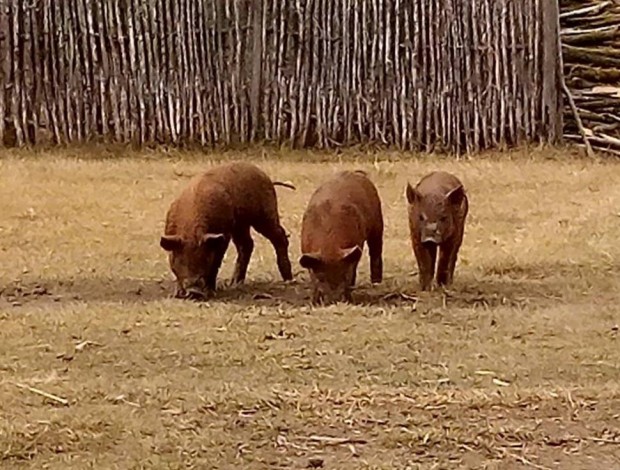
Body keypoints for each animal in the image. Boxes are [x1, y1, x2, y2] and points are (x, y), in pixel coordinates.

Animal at [160, 162, 296, 300]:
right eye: (181, 259)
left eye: (205, 258)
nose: (194, 291)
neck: (191, 229)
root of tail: (266, 176)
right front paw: (177, 294)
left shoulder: (223, 236)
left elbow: (216, 263)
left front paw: (211, 292)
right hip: (241, 225)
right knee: (247, 244)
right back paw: (234, 283)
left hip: (265, 214)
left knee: (279, 236)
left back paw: (288, 279)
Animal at [296, 169, 380, 304]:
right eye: (321, 277)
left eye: (344, 275)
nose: (335, 300)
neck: (329, 244)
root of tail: (354, 172)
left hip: (378, 223)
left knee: (376, 250)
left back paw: (376, 282)